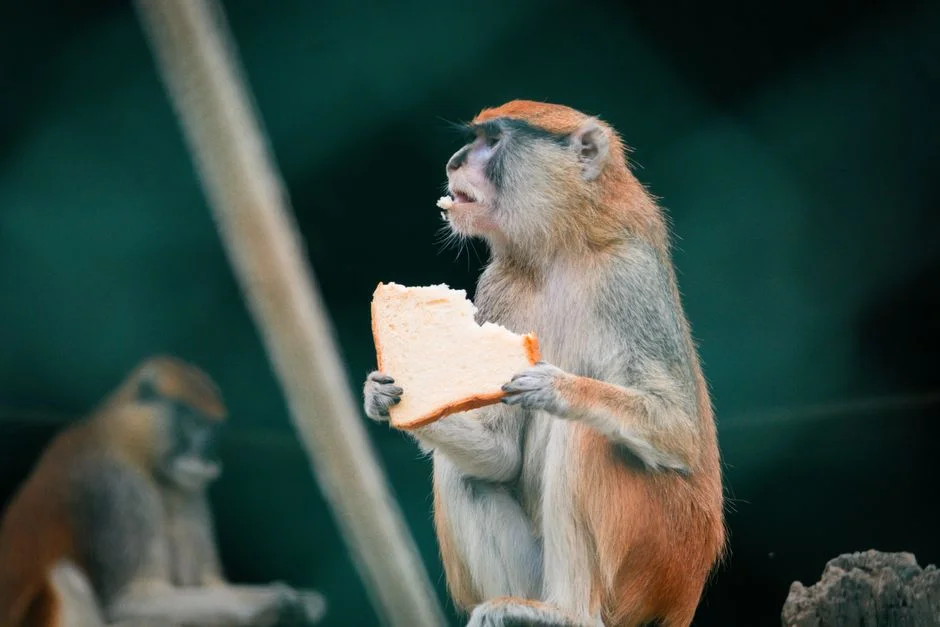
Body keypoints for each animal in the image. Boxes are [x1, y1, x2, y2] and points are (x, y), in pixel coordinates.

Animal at [0, 355, 327, 627]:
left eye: (214, 431)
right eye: (193, 424)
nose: (206, 456)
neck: (132, 442)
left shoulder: (186, 491)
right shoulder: (117, 485)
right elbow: (132, 600)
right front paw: (272, 602)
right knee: (66, 579)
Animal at [363, 101, 725, 627]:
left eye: (493, 141)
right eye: (474, 138)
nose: (454, 163)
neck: (557, 251)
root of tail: (685, 594)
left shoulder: (628, 275)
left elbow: (679, 433)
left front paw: (558, 388)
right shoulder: (499, 284)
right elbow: (500, 457)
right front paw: (381, 394)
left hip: (657, 554)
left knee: (586, 437)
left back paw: (567, 613)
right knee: (463, 474)